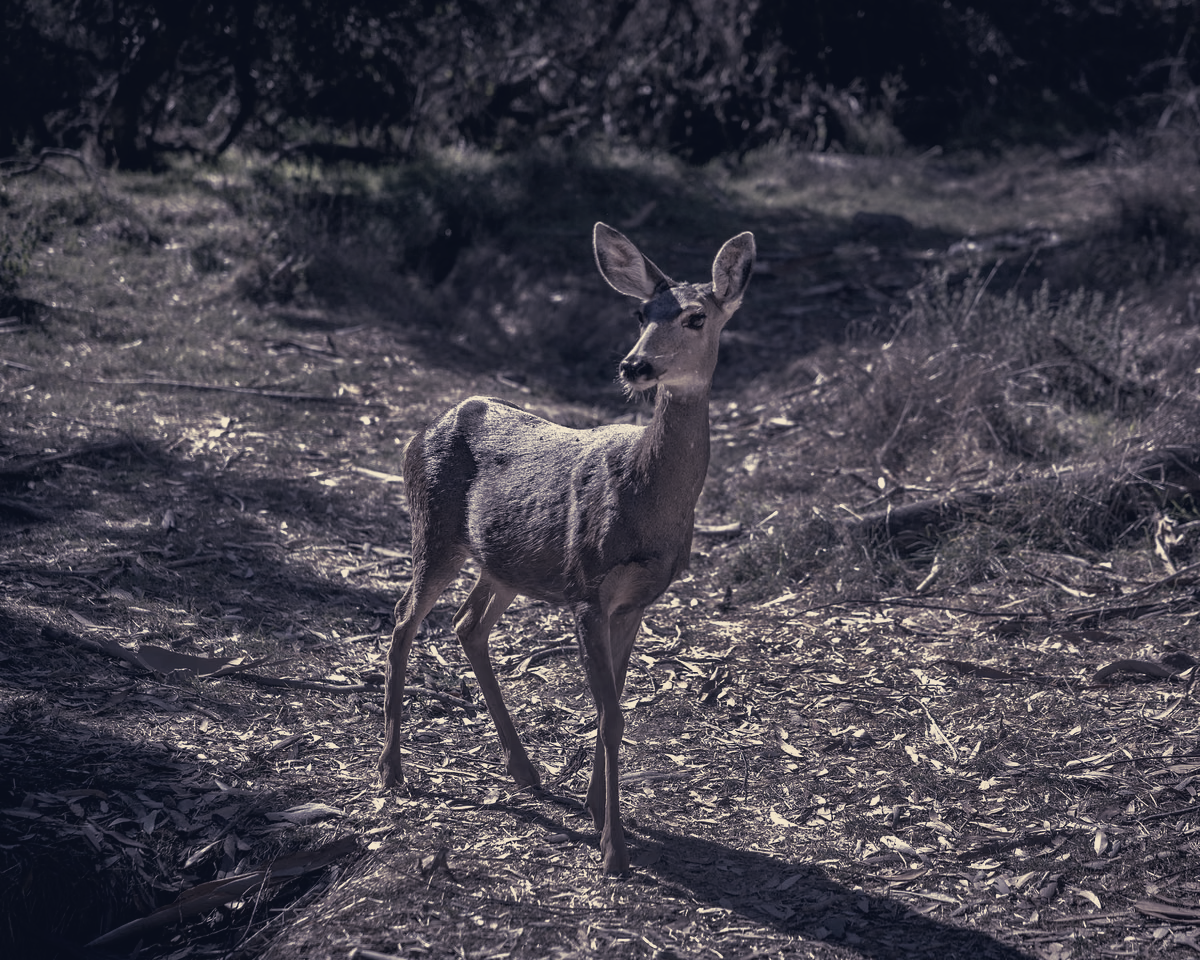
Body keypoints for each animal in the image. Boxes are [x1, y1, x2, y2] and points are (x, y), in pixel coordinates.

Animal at [378, 222, 756, 873]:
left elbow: (615, 705)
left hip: (505, 561)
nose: (635, 365)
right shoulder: (588, 588)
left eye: (695, 317)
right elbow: (611, 714)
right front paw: (613, 849)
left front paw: (595, 806)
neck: (647, 502)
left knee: (466, 623)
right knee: (404, 618)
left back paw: (525, 771)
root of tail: (427, 427)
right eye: (639, 313)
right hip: (435, 527)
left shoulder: (634, 602)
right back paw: (392, 770)